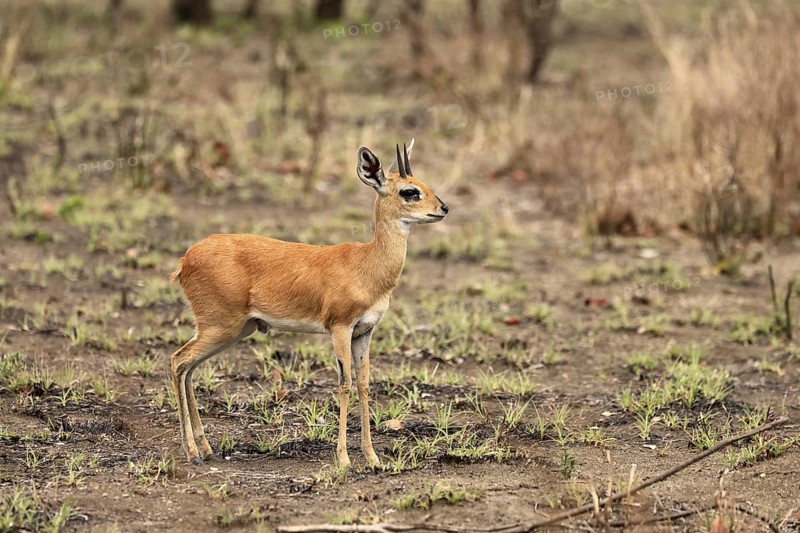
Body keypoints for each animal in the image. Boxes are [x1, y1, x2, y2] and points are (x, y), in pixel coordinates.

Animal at [169, 140, 448, 467]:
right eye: (409, 191)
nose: (443, 209)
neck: (367, 265)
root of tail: (187, 258)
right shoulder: (339, 327)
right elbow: (344, 384)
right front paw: (344, 459)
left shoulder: (364, 331)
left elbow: (364, 384)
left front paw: (373, 458)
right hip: (220, 327)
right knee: (178, 361)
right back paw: (191, 451)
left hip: (233, 330)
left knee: (189, 368)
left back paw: (205, 448)